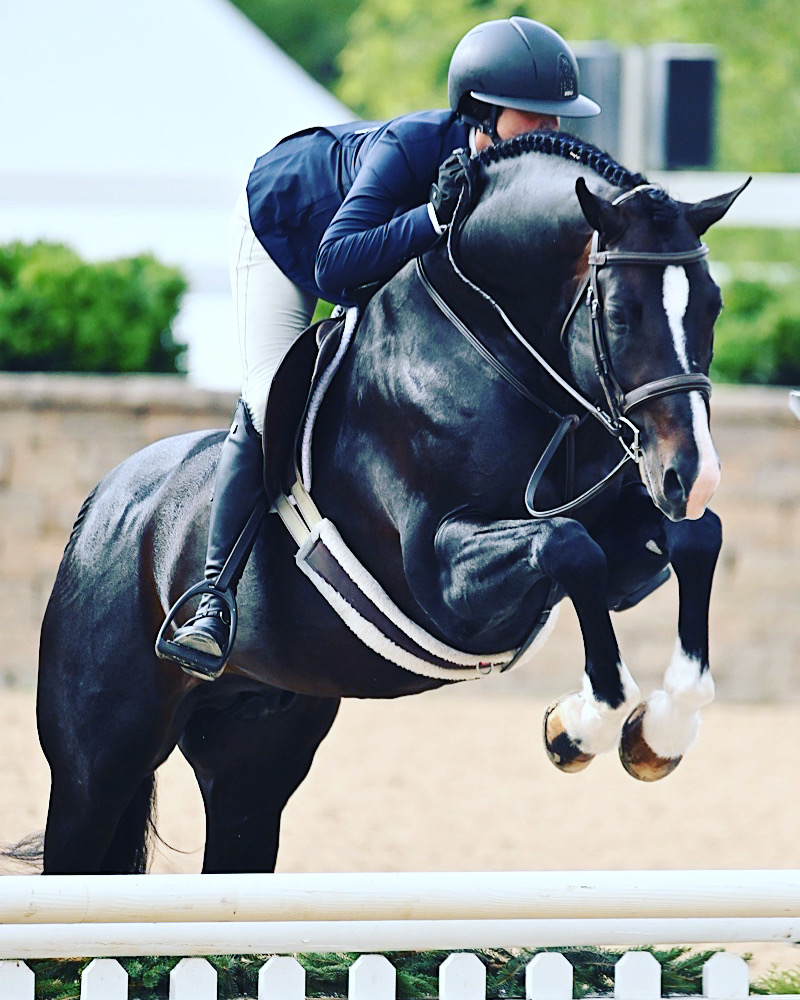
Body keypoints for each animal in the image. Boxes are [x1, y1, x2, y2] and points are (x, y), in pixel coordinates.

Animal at [34, 133, 747, 874]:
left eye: (713, 306)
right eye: (621, 315)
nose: (692, 477)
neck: (502, 353)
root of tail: (100, 510)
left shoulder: (618, 540)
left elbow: (693, 540)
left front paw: (660, 731)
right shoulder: (441, 577)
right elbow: (566, 545)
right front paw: (581, 727)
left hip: (254, 762)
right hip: (96, 766)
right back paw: (203, 626)